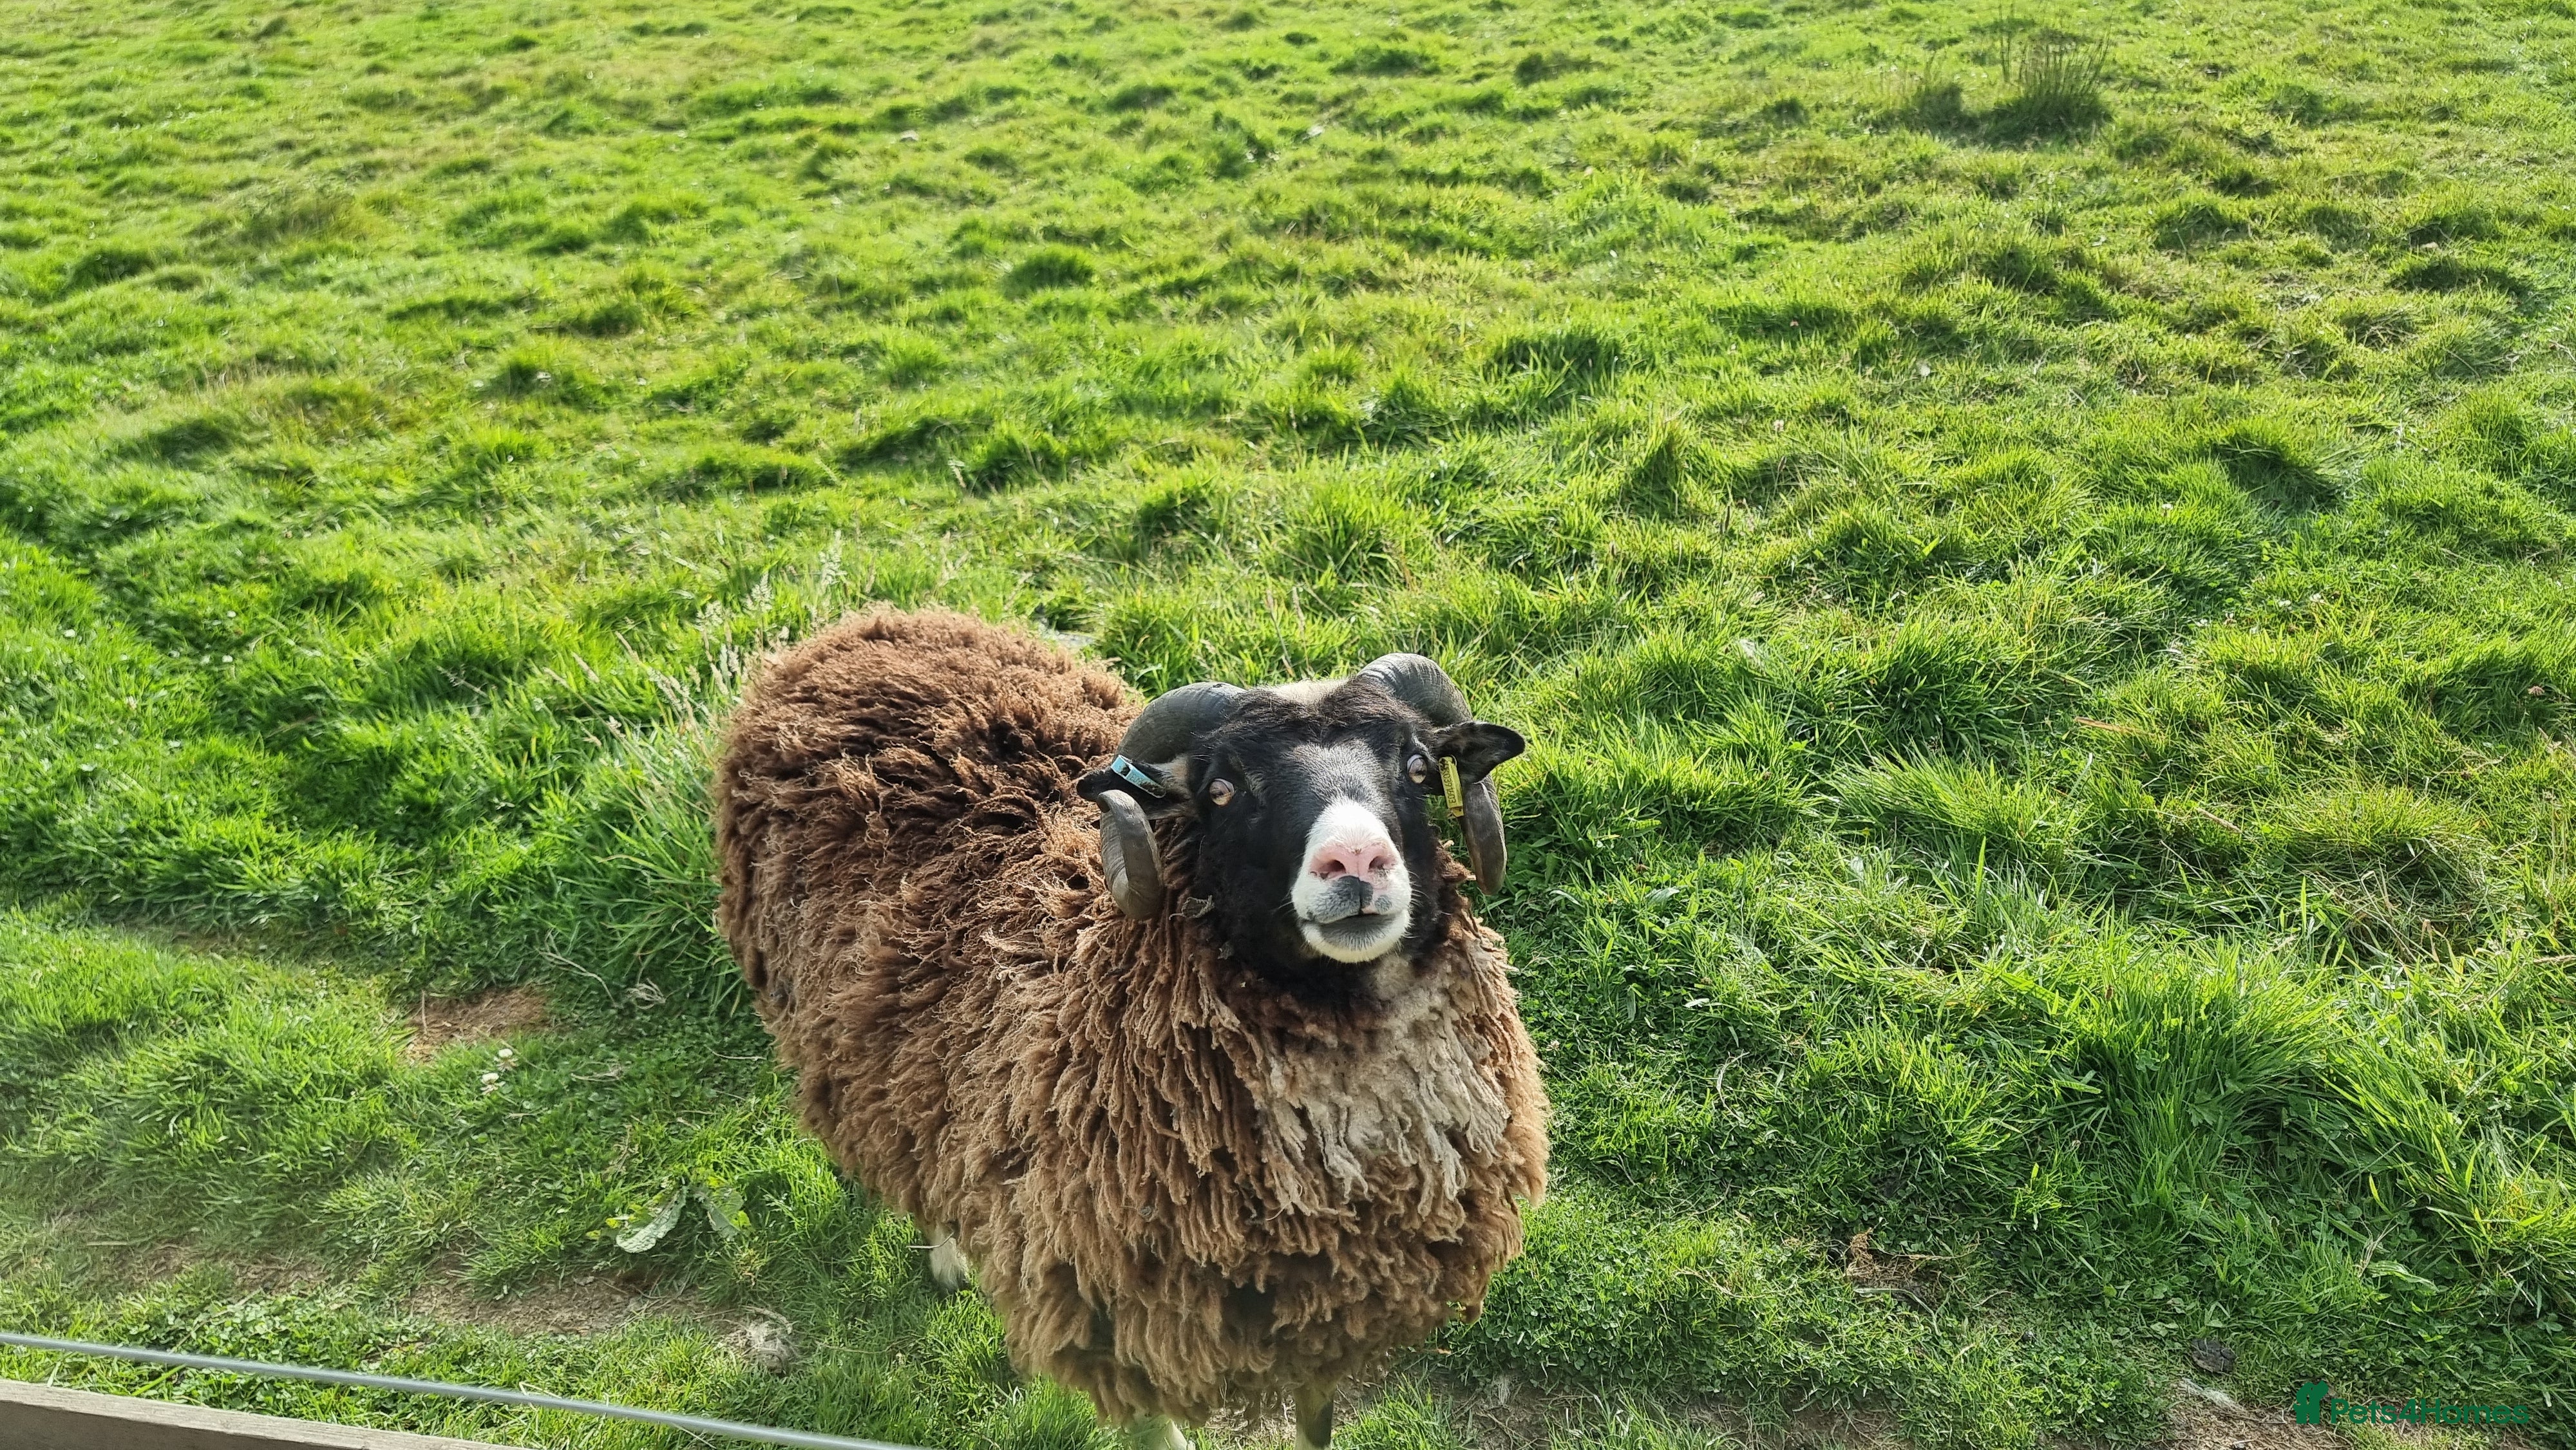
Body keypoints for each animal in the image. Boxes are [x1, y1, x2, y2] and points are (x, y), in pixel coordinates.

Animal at [714, 608, 1548, 1449]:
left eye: (1418, 766)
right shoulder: (1115, 1315)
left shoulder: (1328, 1312)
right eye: (1221, 790)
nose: (1356, 860)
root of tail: (861, 626)